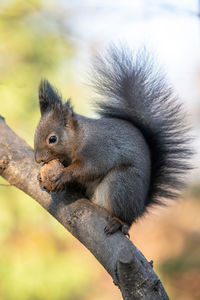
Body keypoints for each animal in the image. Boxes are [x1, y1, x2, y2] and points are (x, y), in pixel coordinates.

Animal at [34, 45, 192, 236]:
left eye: (52, 139)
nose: (38, 159)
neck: (79, 138)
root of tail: (139, 208)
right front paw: (42, 176)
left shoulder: (98, 149)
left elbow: (90, 167)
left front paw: (63, 175)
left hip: (122, 183)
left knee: (126, 217)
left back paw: (119, 222)